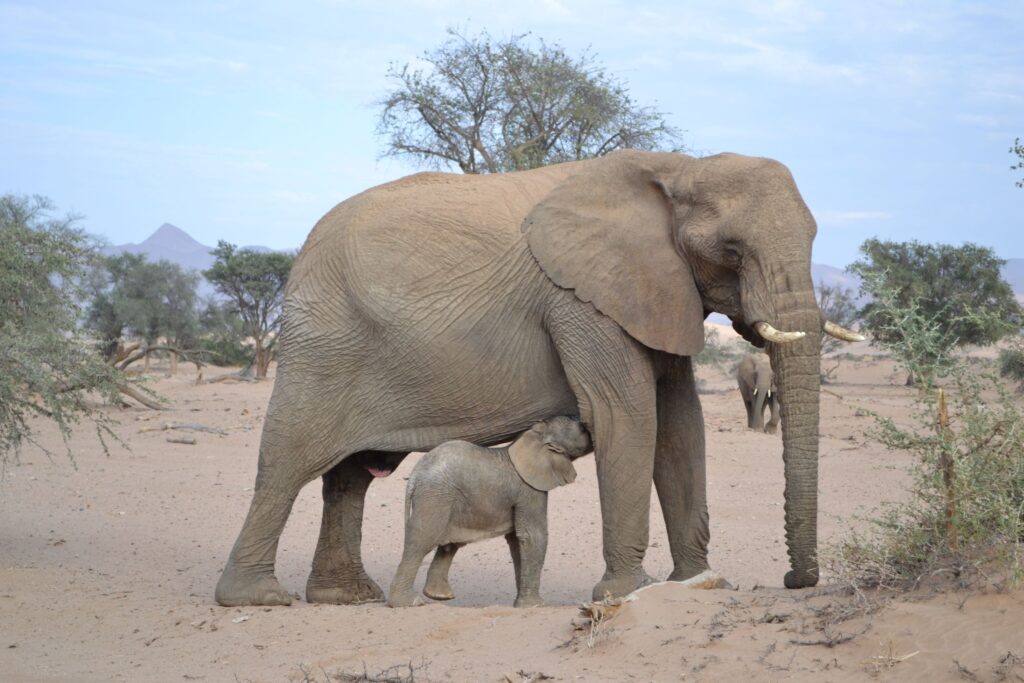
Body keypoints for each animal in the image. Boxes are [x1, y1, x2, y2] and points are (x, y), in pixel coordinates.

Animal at [385, 417, 593, 610]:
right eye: (582, 429)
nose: (587, 424)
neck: (533, 437)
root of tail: (414, 477)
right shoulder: (529, 489)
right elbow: (532, 536)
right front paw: (535, 605)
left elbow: (516, 540)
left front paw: (521, 603)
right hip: (435, 496)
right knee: (422, 540)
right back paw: (408, 602)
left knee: (449, 544)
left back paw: (438, 595)